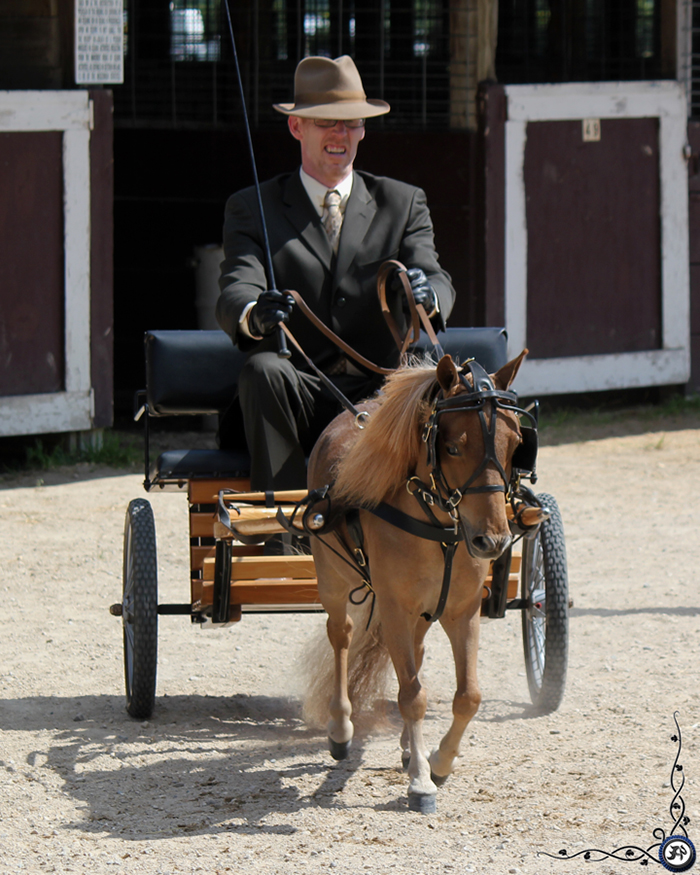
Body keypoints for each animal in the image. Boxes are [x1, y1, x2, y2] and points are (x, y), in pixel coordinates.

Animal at [306, 350, 524, 816]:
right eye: (453, 446)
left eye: (516, 444)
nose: (492, 540)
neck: (439, 529)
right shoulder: (394, 609)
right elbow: (412, 696)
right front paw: (422, 782)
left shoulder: (462, 611)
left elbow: (468, 696)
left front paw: (437, 761)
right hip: (332, 579)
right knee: (341, 636)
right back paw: (341, 726)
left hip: (423, 613)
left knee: (416, 657)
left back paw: (410, 747)